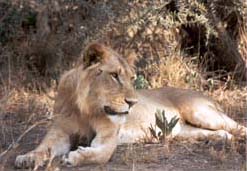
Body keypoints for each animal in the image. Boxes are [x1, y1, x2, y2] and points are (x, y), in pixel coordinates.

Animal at [14, 43, 246, 170]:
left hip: (201, 112)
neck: (87, 108)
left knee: (239, 127)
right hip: (183, 132)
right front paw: (27, 158)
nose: (133, 102)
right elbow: (44, 147)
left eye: (131, 78)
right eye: (114, 76)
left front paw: (75, 157)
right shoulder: (60, 131)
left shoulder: (108, 137)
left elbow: (99, 154)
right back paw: (221, 138)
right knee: (218, 132)